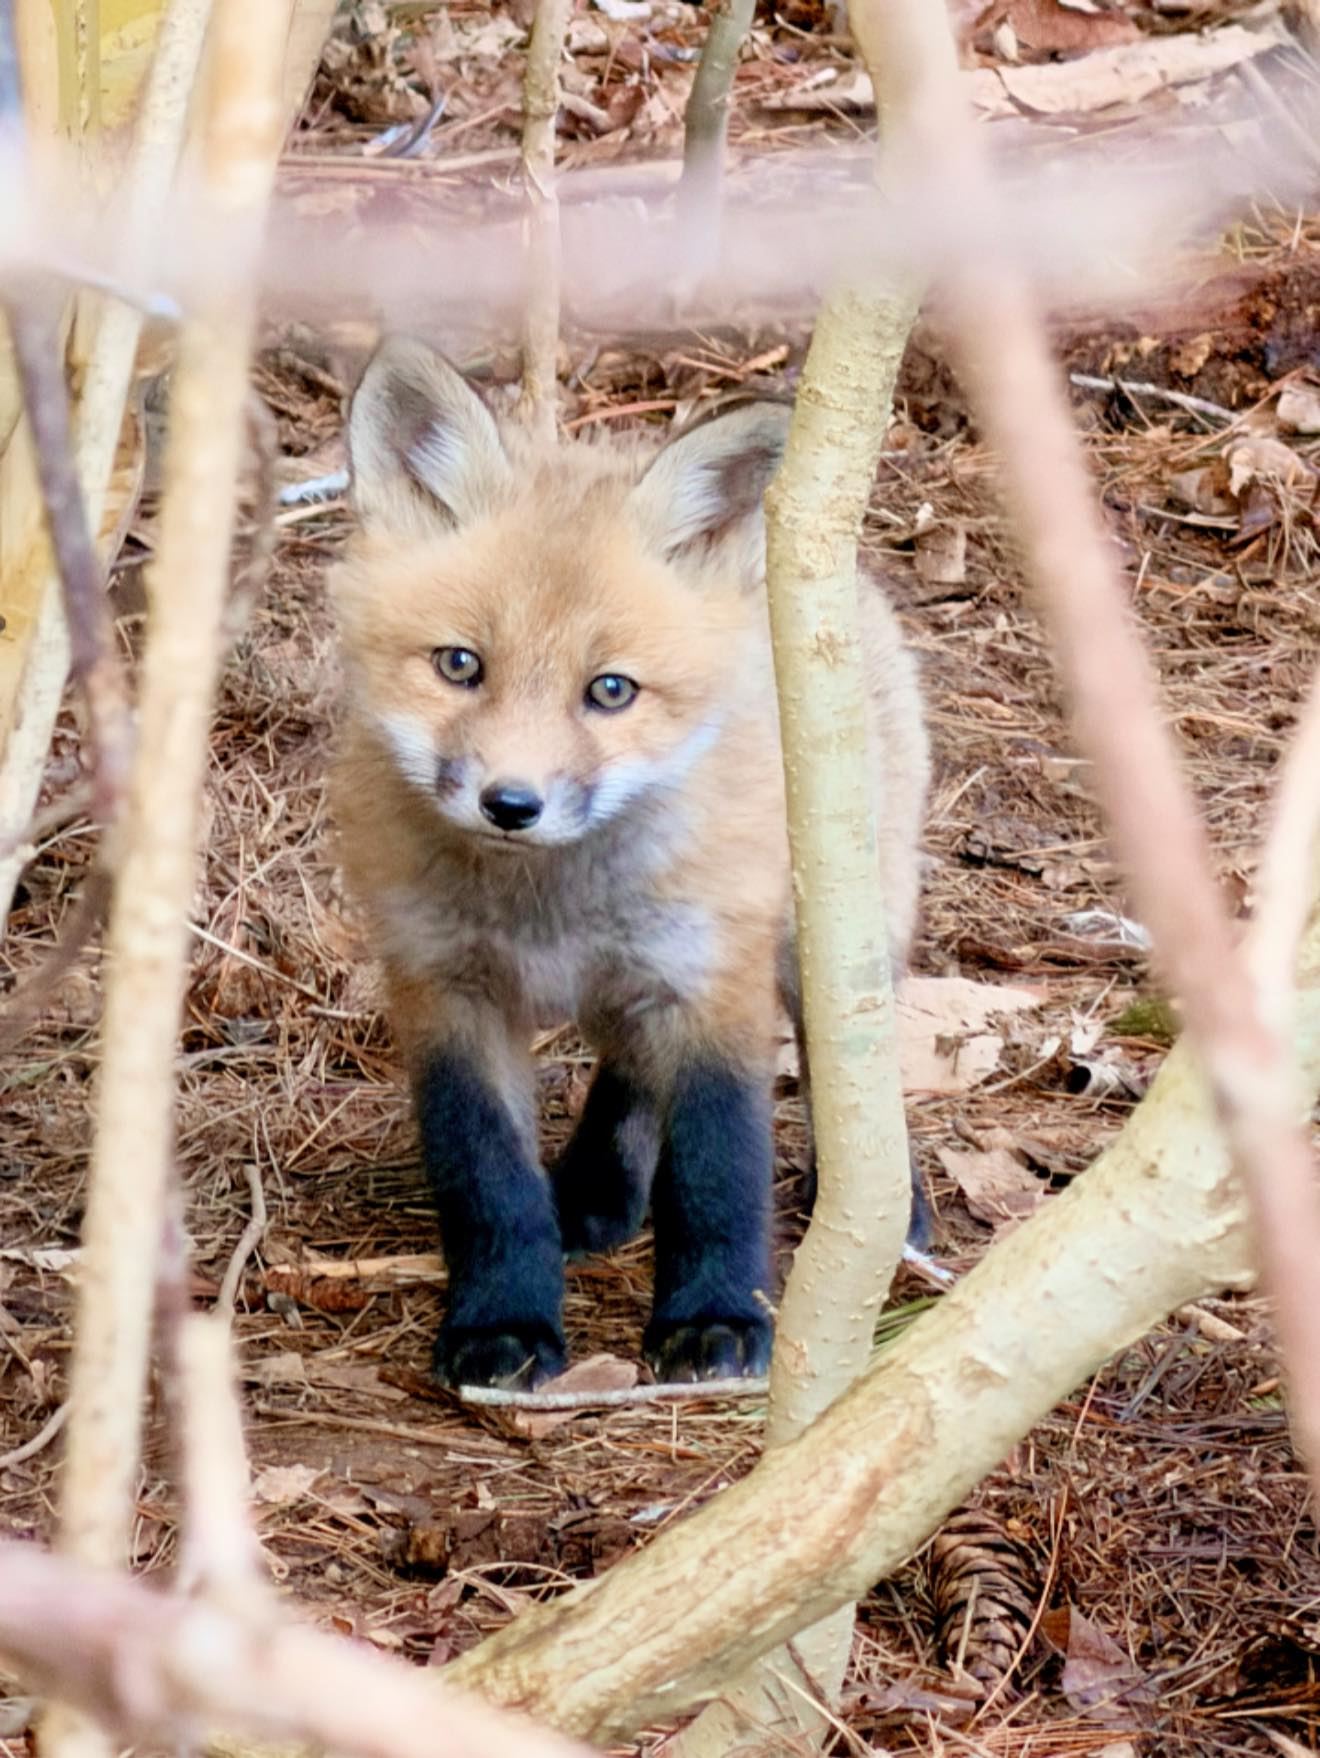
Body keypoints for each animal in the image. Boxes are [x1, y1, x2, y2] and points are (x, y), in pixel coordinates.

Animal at [329, 336, 931, 1390]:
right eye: (458, 665)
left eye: (610, 691)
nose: (511, 804)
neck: (552, 908)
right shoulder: (446, 991)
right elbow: (487, 1180)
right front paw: (502, 1322)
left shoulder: (713, 980)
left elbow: (718, 1169)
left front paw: (716, 1318)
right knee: (630, 1073)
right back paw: (596, 1191)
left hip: (822, 940)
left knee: (844, 1070)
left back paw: (882, 1200)